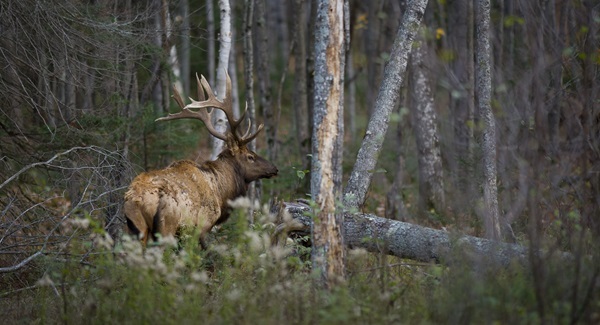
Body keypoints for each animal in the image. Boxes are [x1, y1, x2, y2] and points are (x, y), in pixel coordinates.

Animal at [126, 72, 278, 247]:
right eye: (250, 156)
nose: (274, 168)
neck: (221, 192)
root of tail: (137, 200)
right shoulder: (203, 225)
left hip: (135, 228)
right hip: (167, 226)